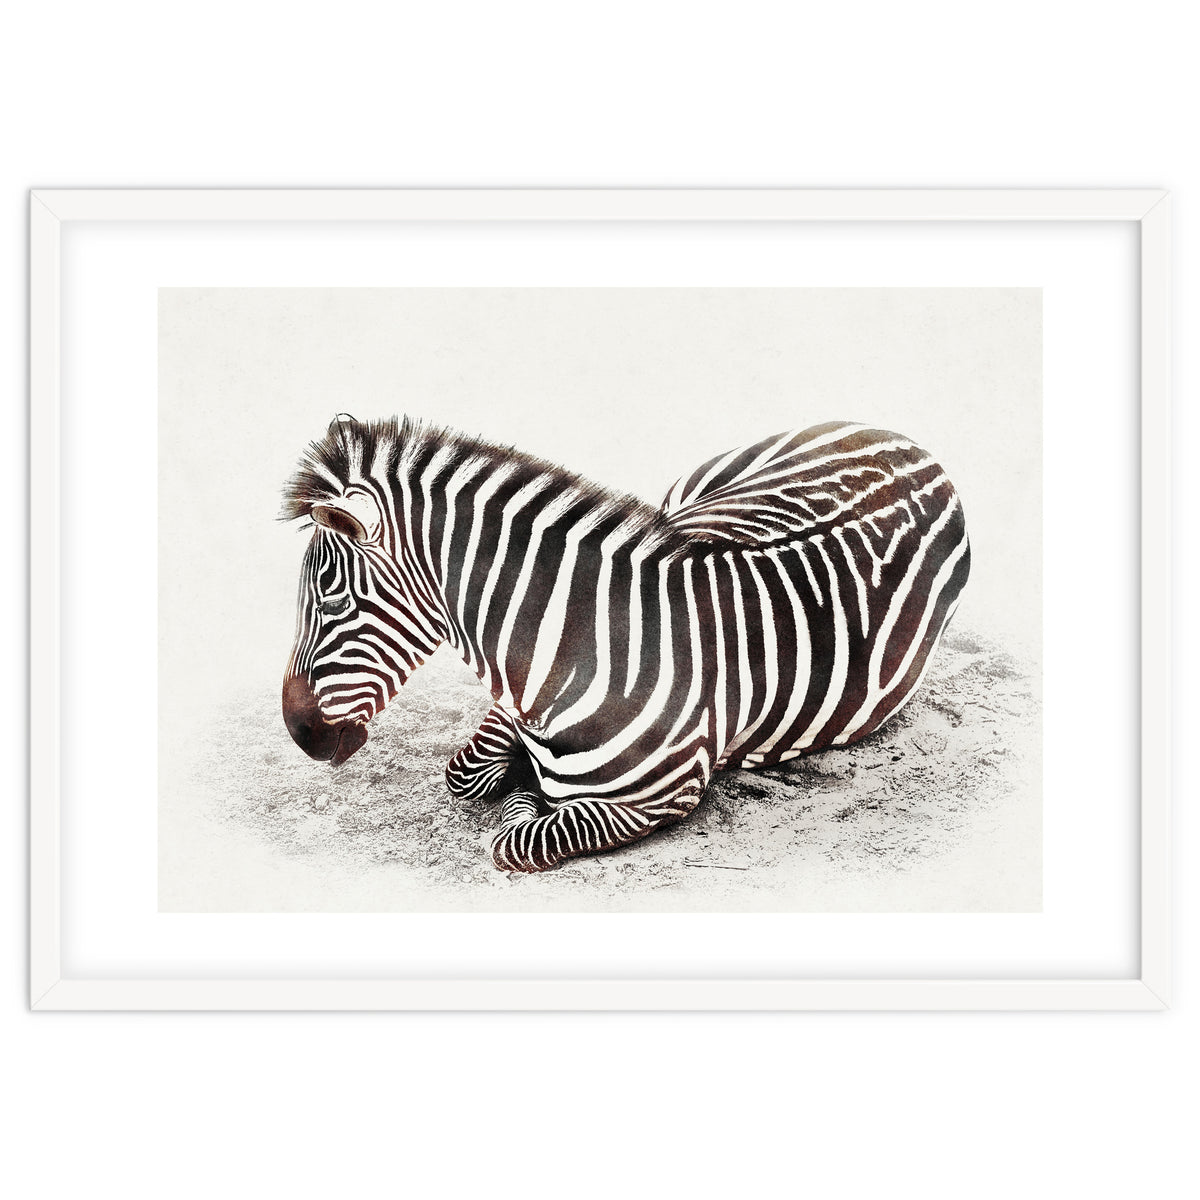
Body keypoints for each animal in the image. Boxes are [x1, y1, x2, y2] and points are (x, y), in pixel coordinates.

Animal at [282, 414, 970, 873]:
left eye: (333, 599)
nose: (299, 733)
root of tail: (918, 446)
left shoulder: (662, 797)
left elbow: (517, 836)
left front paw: (527, 793)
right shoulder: (510, 704)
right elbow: (467, 774)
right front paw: (517, 776)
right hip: (688, 496)